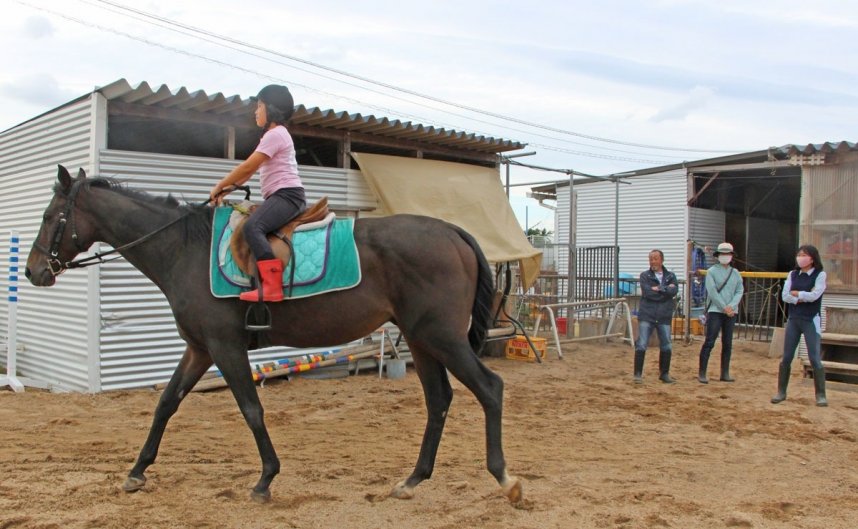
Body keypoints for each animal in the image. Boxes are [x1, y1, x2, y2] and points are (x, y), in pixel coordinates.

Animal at [25, 165, 520, 504]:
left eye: (50, 216)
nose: (32, 272)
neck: (184, 249)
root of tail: (453, 231)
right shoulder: (199, 349)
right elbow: (166, 403)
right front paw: (137, 470)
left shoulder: (224, 347)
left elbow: (251, 409)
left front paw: (265, 479)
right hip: (421, 339)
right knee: (439, 400)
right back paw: (413, 479)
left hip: (442, 337)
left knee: (491, 389)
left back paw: (504, 477)